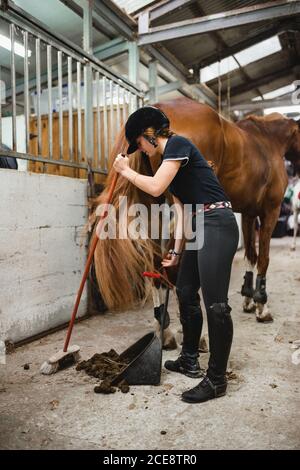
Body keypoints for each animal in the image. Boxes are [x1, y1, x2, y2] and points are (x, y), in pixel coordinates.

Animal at [92, 96, 300, 330]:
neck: (267, 142)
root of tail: (160, 105)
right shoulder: (270, 211)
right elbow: (263, 257)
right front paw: (261, 306)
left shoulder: (248, 213)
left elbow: (250, 255)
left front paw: (248, 298)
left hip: (152, 205)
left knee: (155, 261)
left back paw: (164, 325)